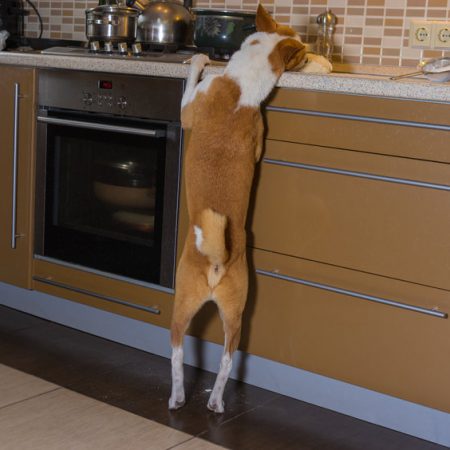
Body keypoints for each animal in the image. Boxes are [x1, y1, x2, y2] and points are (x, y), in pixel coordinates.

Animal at [169, 4, 307, 413]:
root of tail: (217, 262)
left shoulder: (188, 109)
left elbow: (191, 81)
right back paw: (214, 402)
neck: (241, 84)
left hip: (181, 302)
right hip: (236, 313)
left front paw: (200, 58)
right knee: (228, 359)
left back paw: (177, 397)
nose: (311, 53)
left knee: (178, 352)